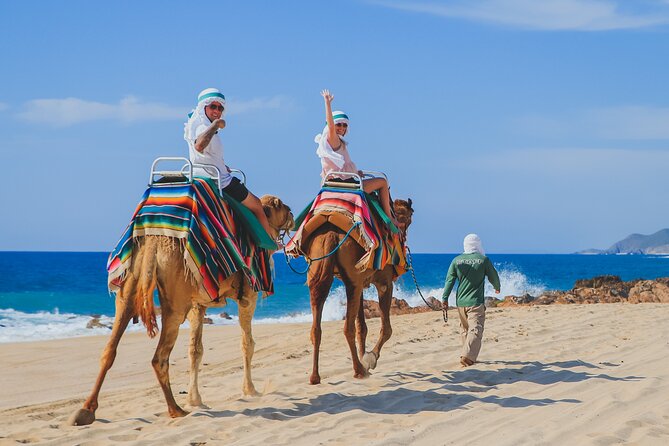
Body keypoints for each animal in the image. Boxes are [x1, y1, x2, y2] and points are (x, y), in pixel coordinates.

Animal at [69, 195, 294, 425]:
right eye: (279, 205)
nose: (292, 214)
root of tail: (154, 245)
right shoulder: (248, 296)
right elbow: (247, 344)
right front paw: (250, 390)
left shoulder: (198, 304)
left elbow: (195, 350)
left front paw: (195, 400)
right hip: (175, 299)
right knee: (159, 357)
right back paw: (175, 409)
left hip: (129, 283)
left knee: (110, 348)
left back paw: (85, 411)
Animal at [303, 198, 413, 384]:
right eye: (409, 219)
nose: (402, 235)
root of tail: (332, 235)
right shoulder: (383, 282)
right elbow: (386, 329)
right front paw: (370, 359)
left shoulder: (361, 284)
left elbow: (362, 326)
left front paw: (364, 357)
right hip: (353, 278)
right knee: (347, 328)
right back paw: (359, 370)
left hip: (321, 271)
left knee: (316, 328)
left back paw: (315, 376)